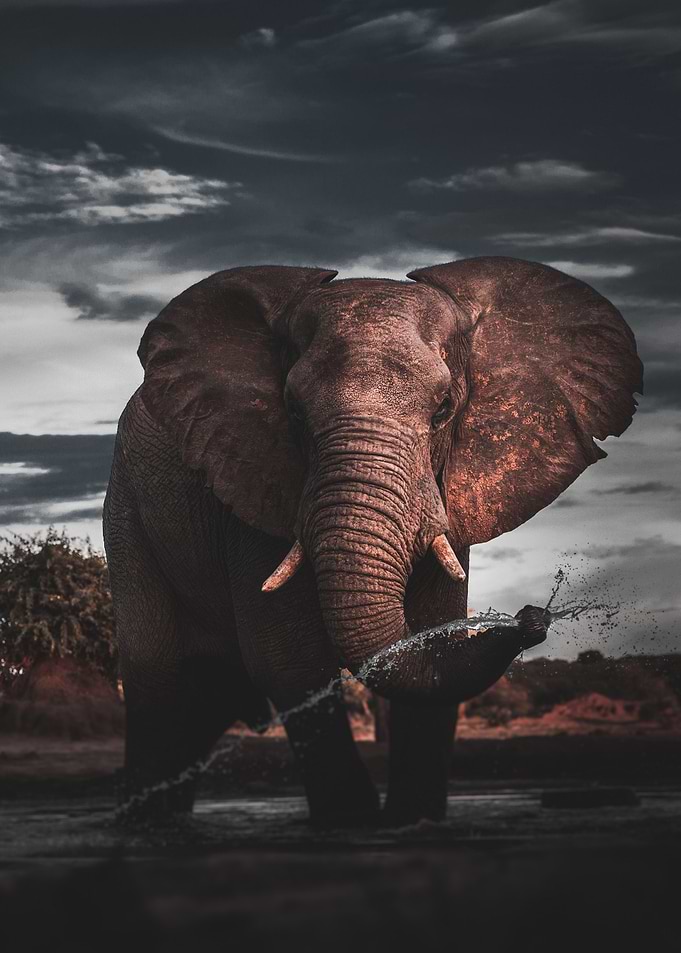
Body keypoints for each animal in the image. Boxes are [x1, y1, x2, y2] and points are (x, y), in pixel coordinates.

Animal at [103, 256, 642, 826]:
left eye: (444, 409)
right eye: (293, 412)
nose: (532, 617)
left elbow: (431, 634)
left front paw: (413, 820)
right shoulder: (252, 481)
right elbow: (289, 660)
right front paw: (353, 823)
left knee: (209, 696)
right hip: (128, 511)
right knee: (156, 679)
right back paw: (144, 825)